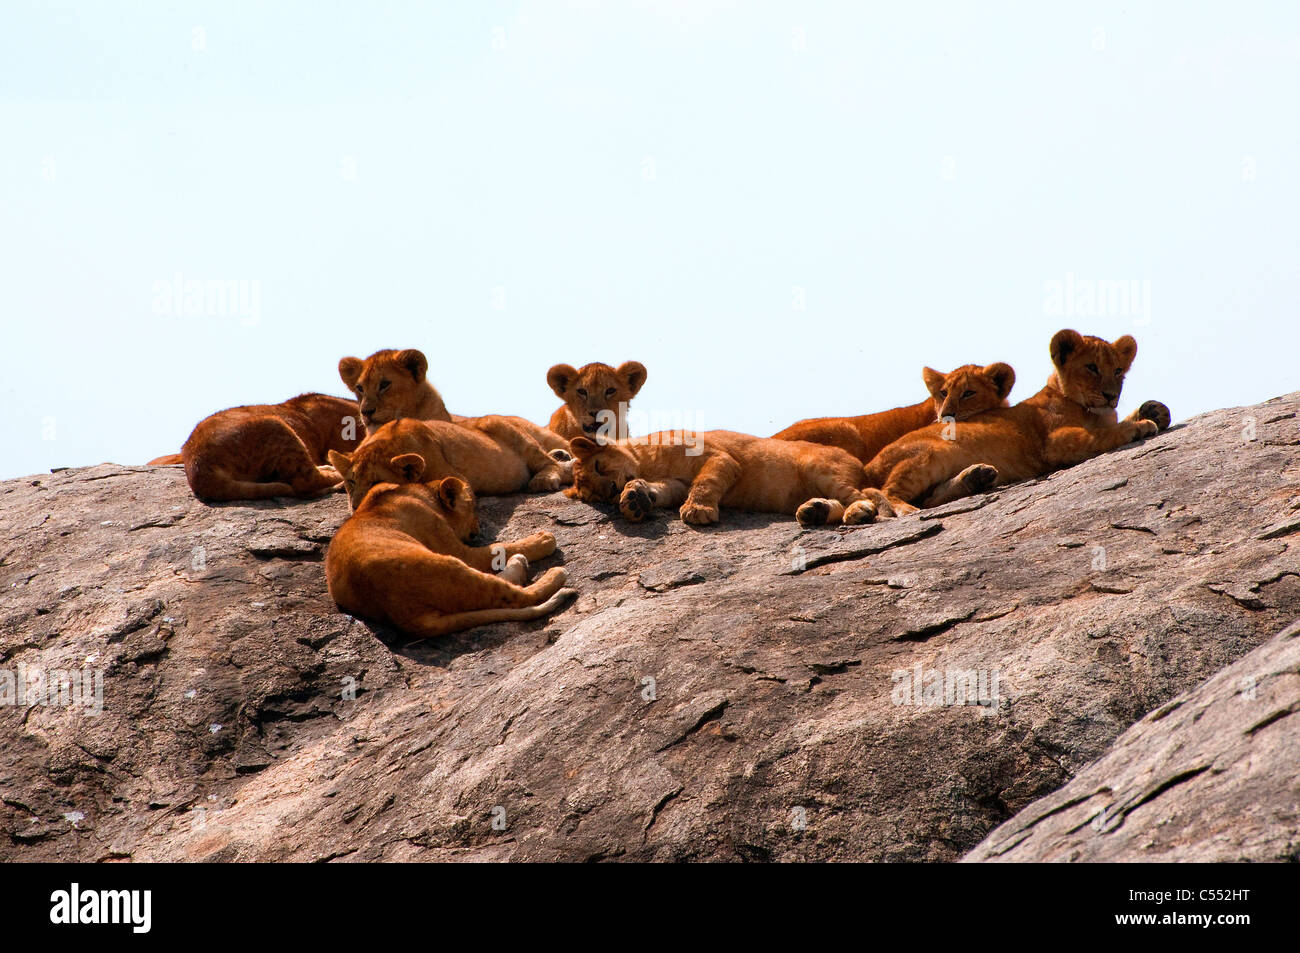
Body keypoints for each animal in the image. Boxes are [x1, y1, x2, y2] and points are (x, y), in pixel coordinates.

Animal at [325, 475, 577, 640]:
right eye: (474, 508)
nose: (479, 527)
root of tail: (406, 617)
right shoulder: (457, 549)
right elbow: (498, 546)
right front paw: (542, 539)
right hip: (447, 564)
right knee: (516, 596)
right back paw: (549, 572)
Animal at [328, 417, 573, 510]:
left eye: (376, 482)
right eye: (352, 481)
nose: (356, 507)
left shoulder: (456, 477)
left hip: (501, 426)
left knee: (552, 465)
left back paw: (545, 478)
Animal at [565, 430, 881, 527]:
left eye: (598, 466)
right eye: (597, 496)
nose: (612, 488)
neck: (647, 465)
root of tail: (861, 464)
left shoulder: (721, 458)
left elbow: (706, 482)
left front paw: (698, 510)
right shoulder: (676, 485)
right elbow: (661, 492)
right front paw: (634, 499)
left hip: (818, 466)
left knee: (862, 498)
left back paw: (858, 511)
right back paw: (814, 511)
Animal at [861, 330, 1172, 515]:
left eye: (1118, 371)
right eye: (1092, 367)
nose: (1110, 396)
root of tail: (869, 465)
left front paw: (1155, 410)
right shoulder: (1054, 444)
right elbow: (1101, 436)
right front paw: (1140, 425)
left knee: (930, 496)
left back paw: (976, 477)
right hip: (929, 455)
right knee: (889, 491)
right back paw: (909, 511)